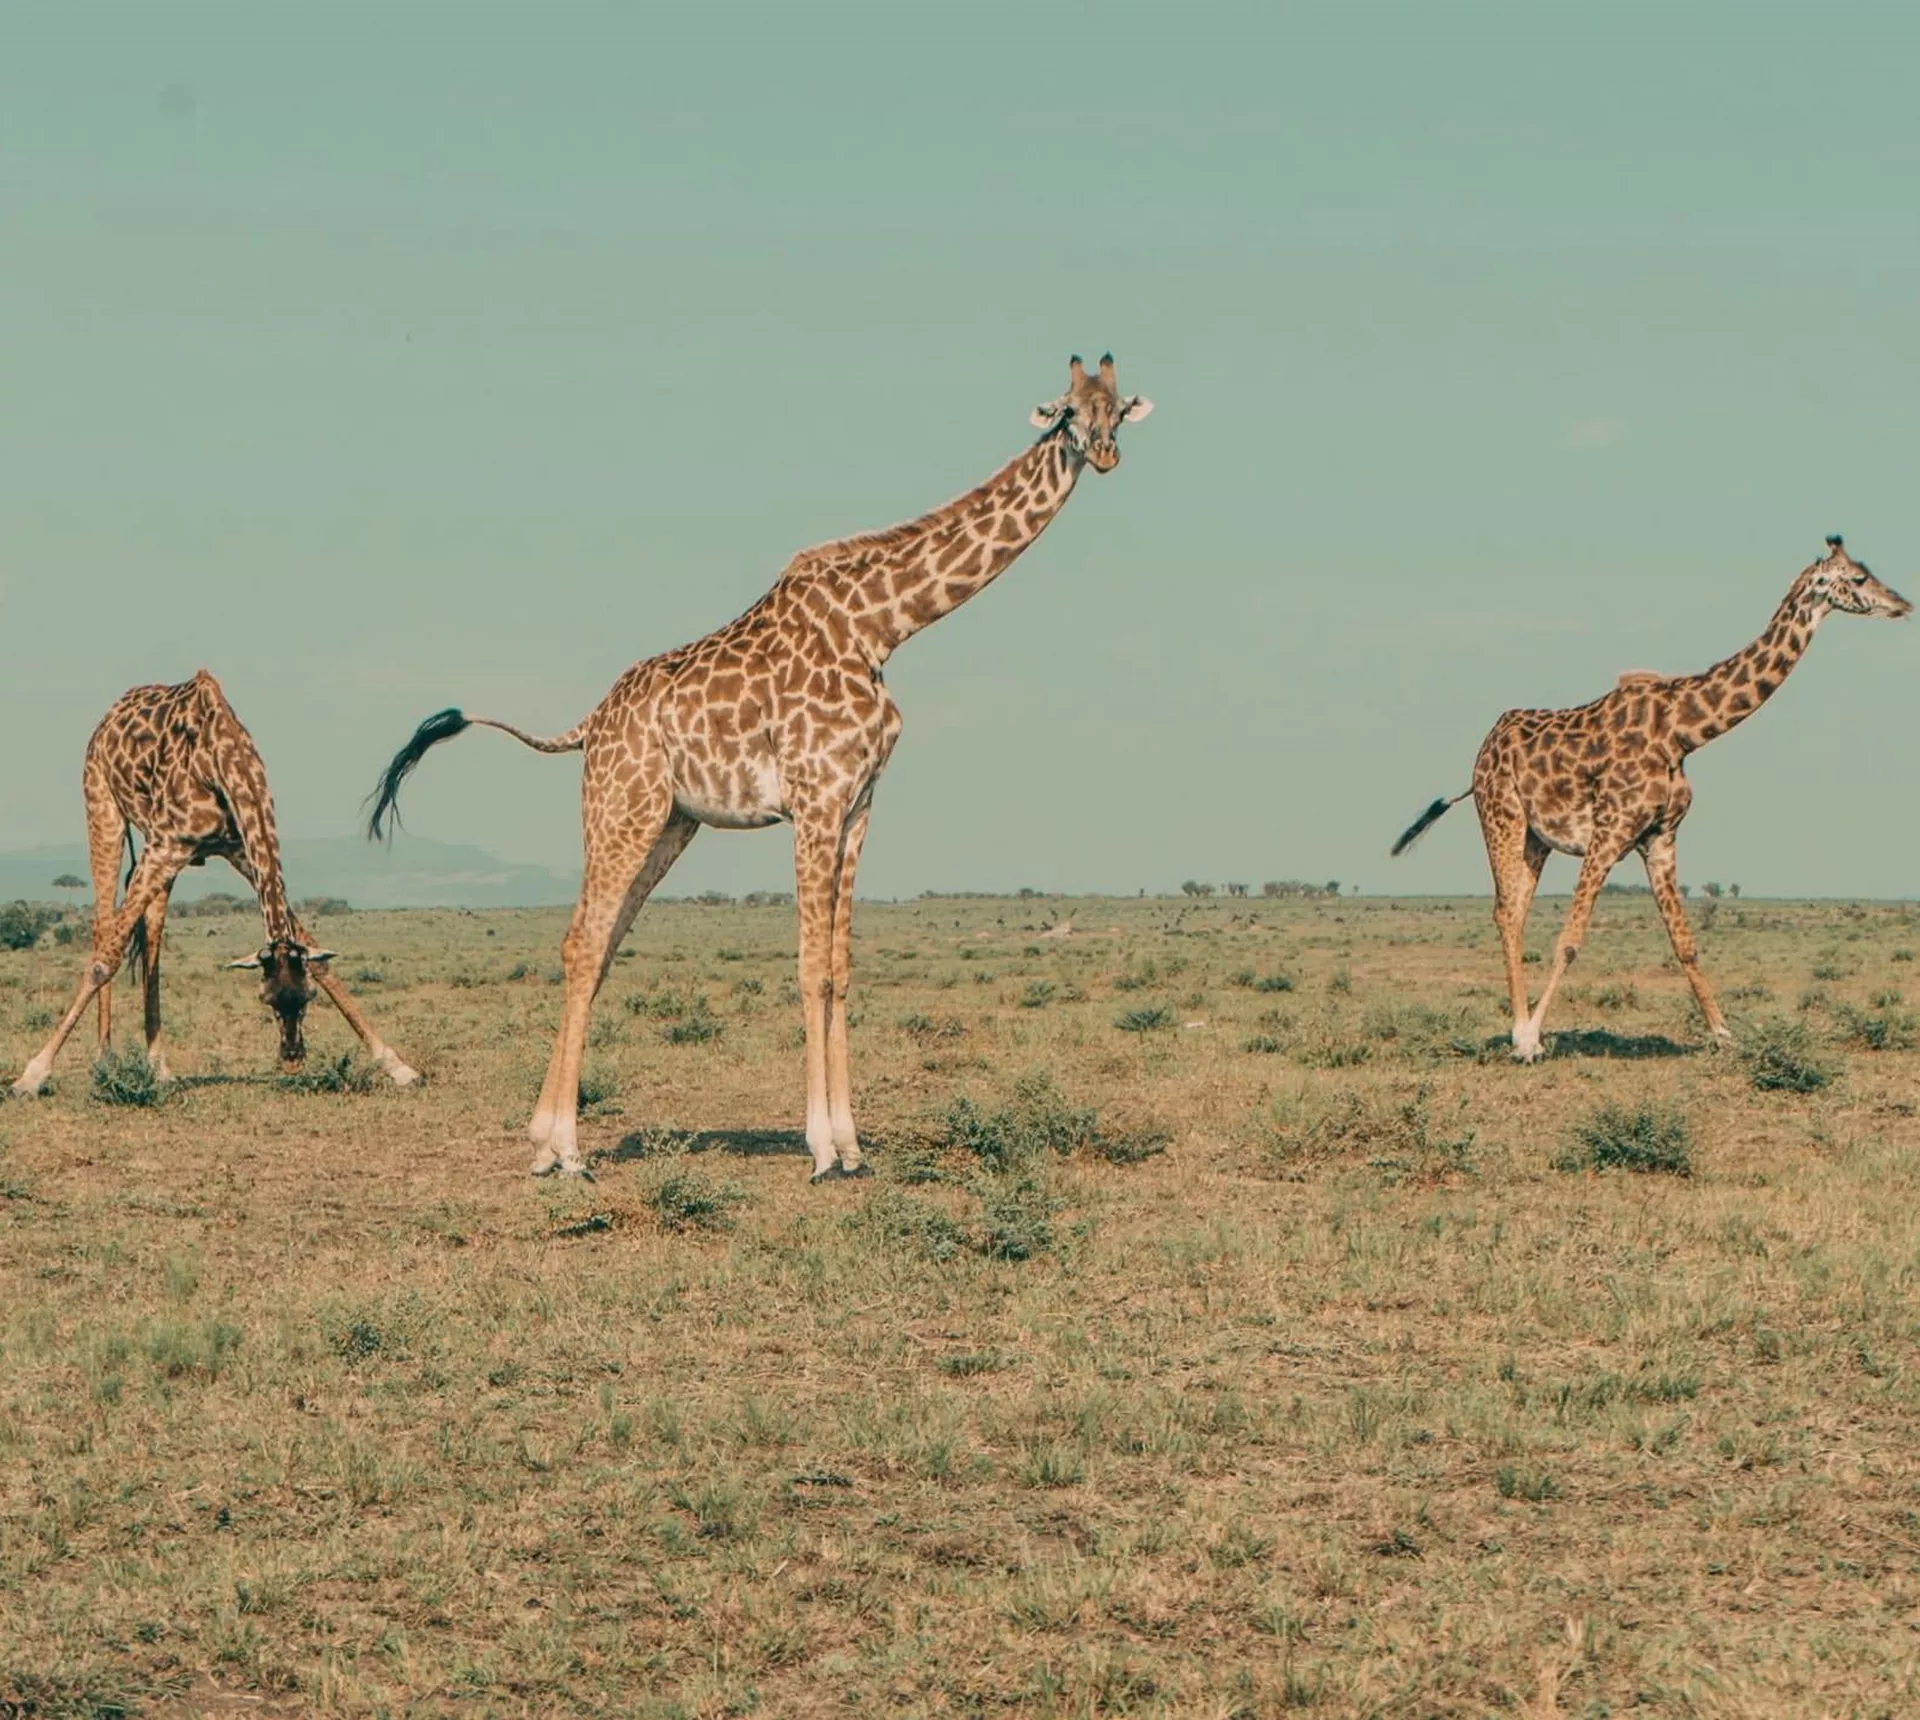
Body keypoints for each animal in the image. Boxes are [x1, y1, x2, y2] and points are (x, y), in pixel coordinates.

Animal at [10, 671, 420, 1097]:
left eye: (306, 997)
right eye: (265, 1000)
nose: (292, 1059)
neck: (225, 761)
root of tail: (111, 714)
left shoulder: (237, 848)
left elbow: (318, 957)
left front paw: (398, 1065)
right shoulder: (167, 845)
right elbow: (104, 960)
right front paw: (31, 1075)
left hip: (156, 849)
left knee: (151, 931)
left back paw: (158, 1065)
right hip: (103, 804)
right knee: (104, 926)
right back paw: (103, 1060)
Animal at [366, 354, 1152, 1180]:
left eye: (1116, 409)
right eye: (1067, 411)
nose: (1104, 453)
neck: (883, 626)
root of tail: (591, 725)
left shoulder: (859, 804)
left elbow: (840, 967)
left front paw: (853, 1145)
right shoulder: (815, 797)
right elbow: (810, 967)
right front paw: (823, 1150)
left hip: (671, 824)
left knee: (600, 946)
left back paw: (546, 1143)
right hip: (621, 809)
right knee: (581, 942)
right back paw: (566, 1150)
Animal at [1390, 537, 1909, 1061]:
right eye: (1859, 578)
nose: (1903, 605)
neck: (1682, 731)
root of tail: (1484, 747)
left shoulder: (1660, 838)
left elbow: (1686, 943)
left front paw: (1725, 1035)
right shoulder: (1609, 831)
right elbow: (1570, 939)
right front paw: (1533, 1036)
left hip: (1536, 838)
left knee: (1515, 912)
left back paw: (1518, 1028)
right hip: (1502, 816)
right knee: (1504, 912)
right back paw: (1521, 1036)